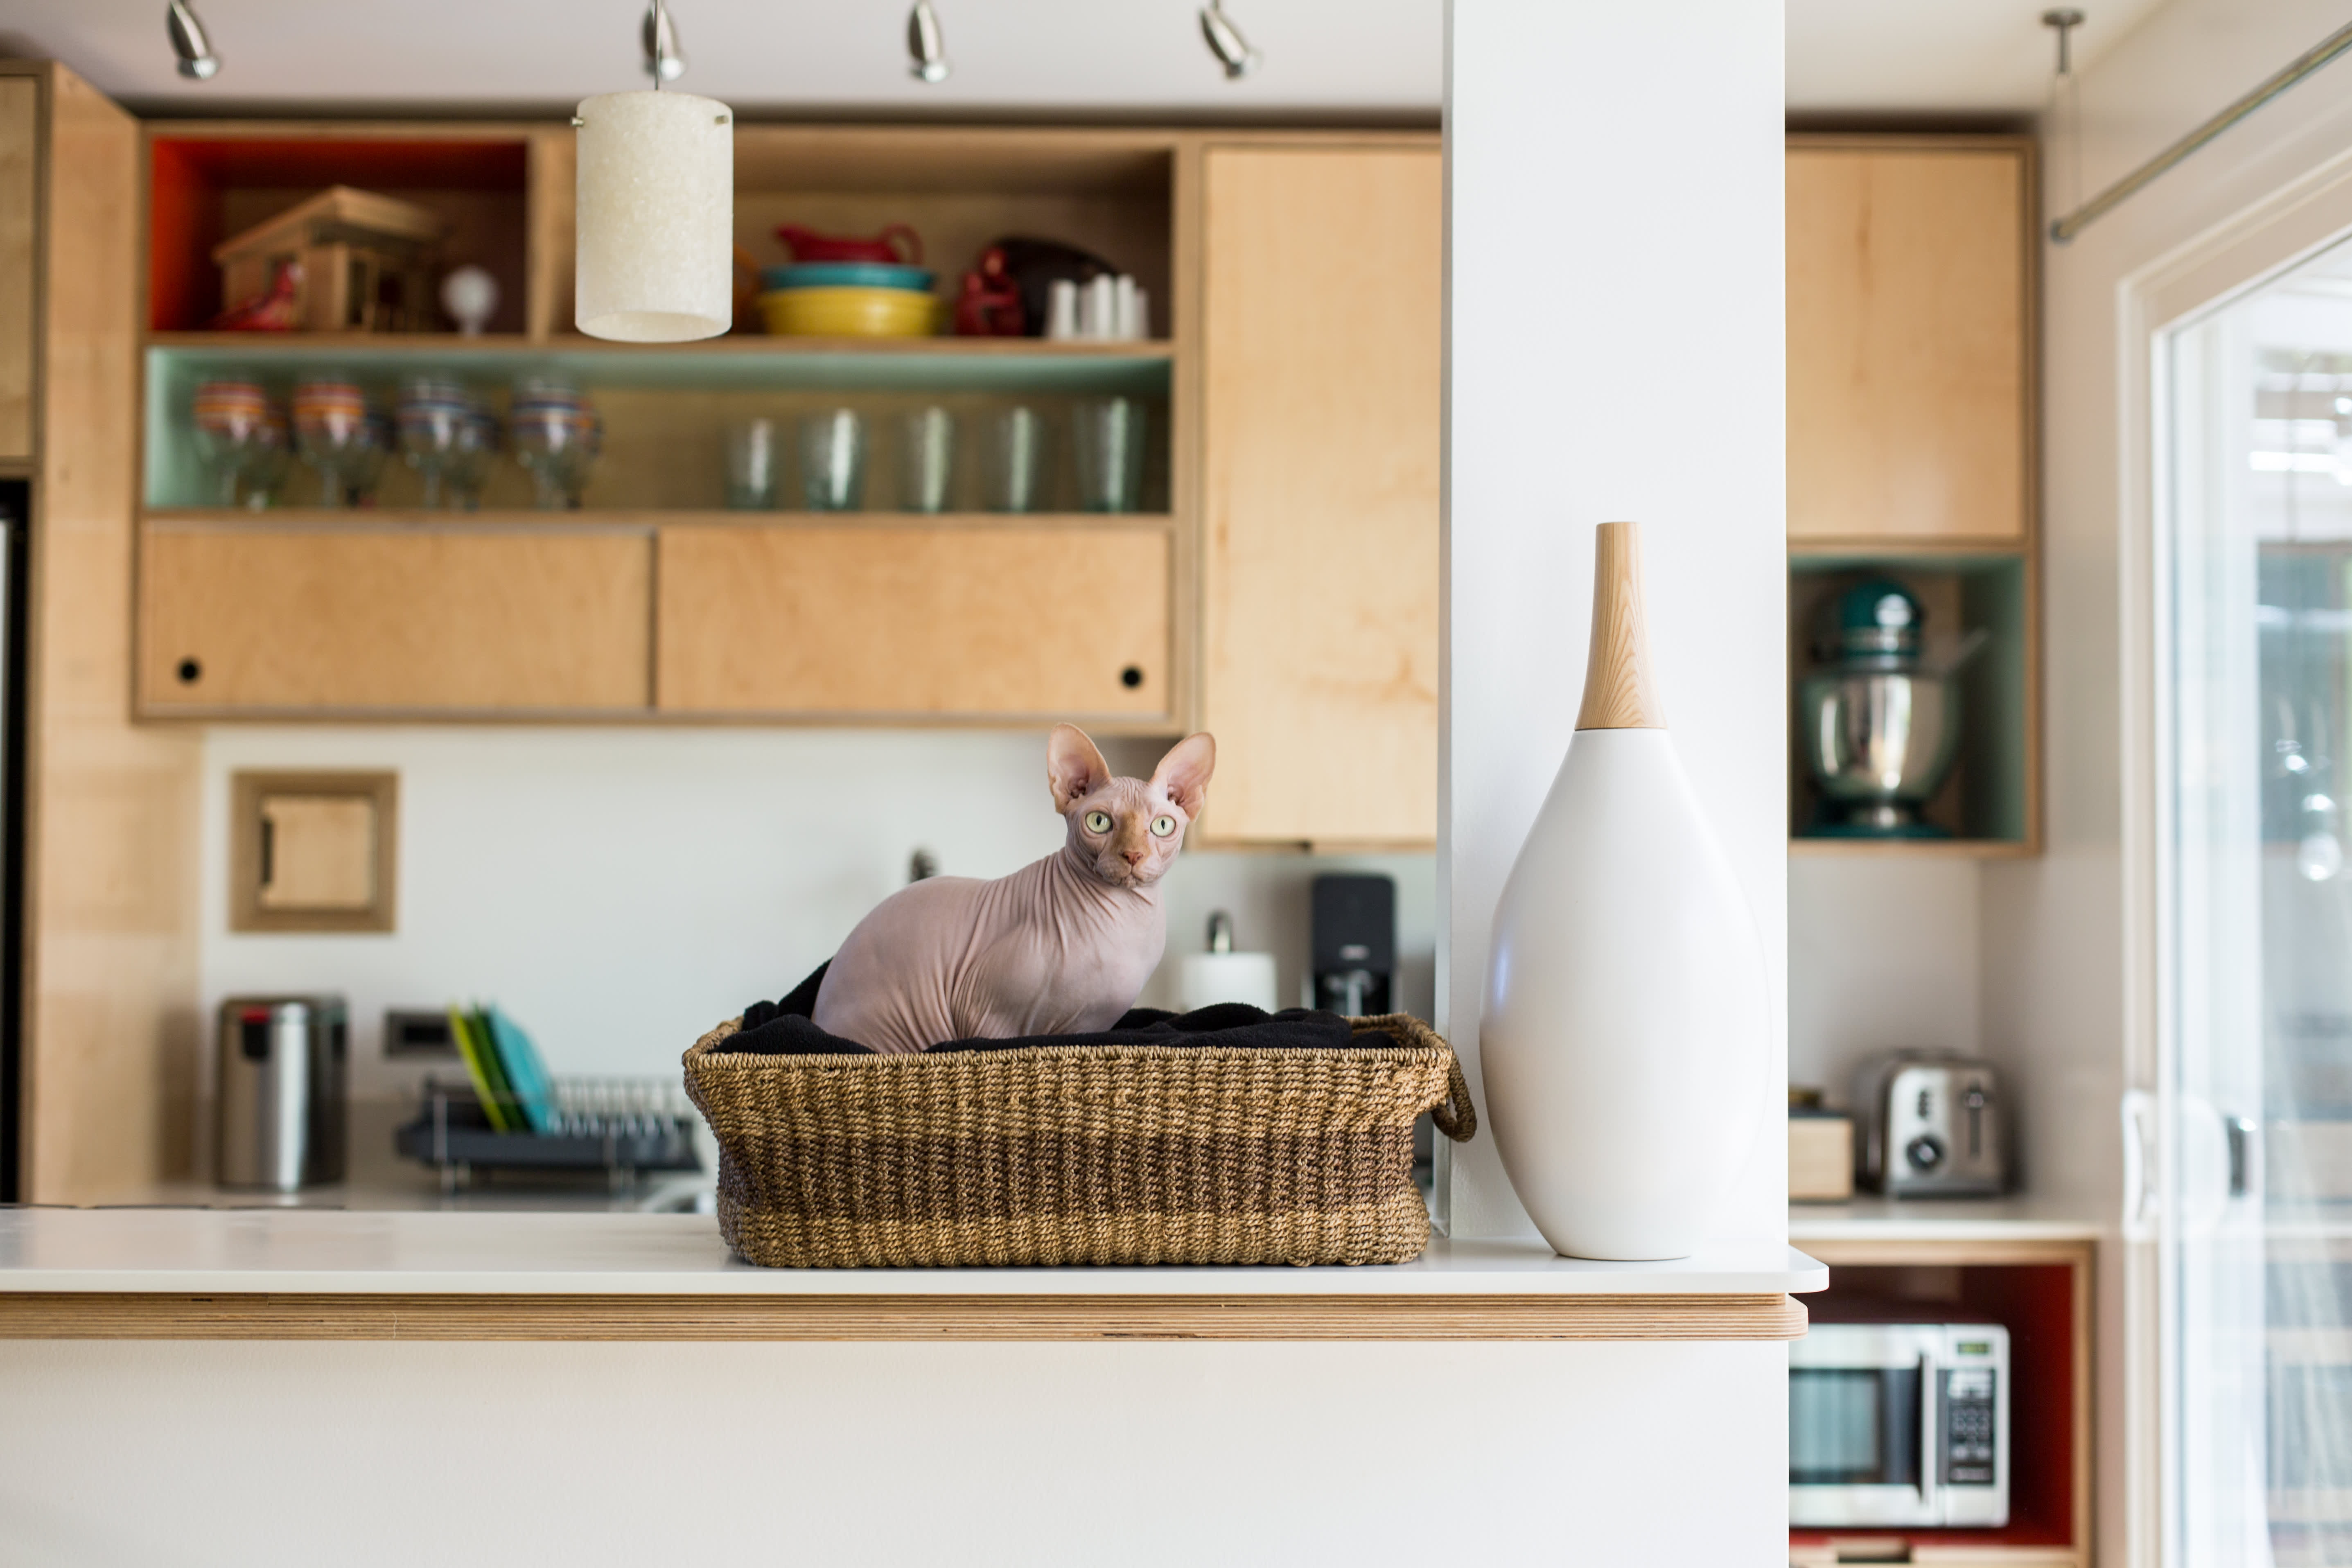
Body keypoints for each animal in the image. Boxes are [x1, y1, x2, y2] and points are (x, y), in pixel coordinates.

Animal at [809, 724, 1213, 1053]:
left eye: (1162, 825)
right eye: (1099, 822)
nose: (1133, 854)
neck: (1125, 921)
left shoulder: (1089, 1026)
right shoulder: (986, 1014)